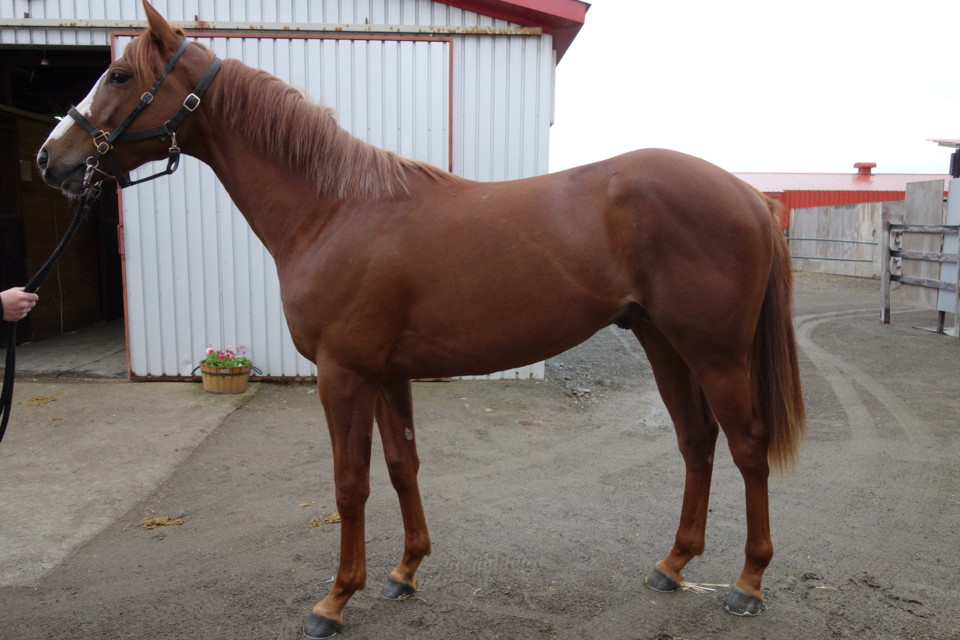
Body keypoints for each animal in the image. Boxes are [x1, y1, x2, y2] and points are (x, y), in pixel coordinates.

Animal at [36, 2, 805, 637]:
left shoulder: (342, 375)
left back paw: (747, 583)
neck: (333, 210)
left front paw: (333, 601)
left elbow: (350, 484)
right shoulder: (386, 374)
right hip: (663, 341)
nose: (51, 159)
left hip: (715, 353)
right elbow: (404, 465)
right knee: (697, 443)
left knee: (747, 447)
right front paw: (403, 574)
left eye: (119, 72)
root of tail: (748, 195)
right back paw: (672, 565)